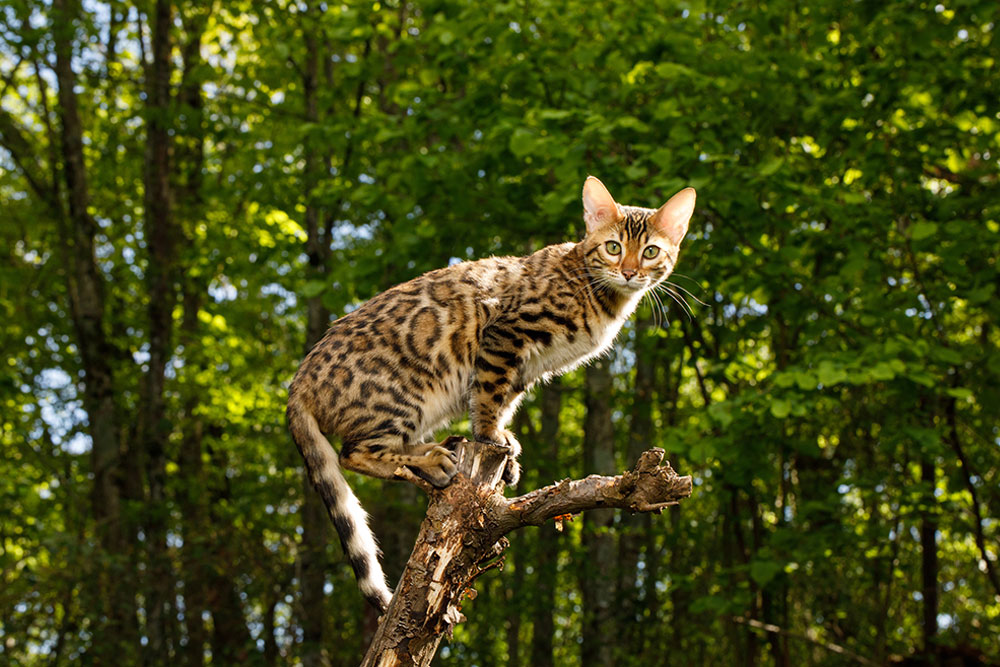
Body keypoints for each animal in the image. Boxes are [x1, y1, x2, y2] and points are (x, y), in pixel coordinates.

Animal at [288, 175, 696, 612]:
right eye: (613, 247)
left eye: (651, 251)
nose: (630, 272)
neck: (600, 294)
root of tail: (298, 381)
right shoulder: (506, 333)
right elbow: (487, 394)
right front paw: (488, 435)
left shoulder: (527, 368)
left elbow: (505, 401)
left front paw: (506, 444)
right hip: (404, 396)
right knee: (353, 453)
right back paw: (432, 459)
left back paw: (442, 446)